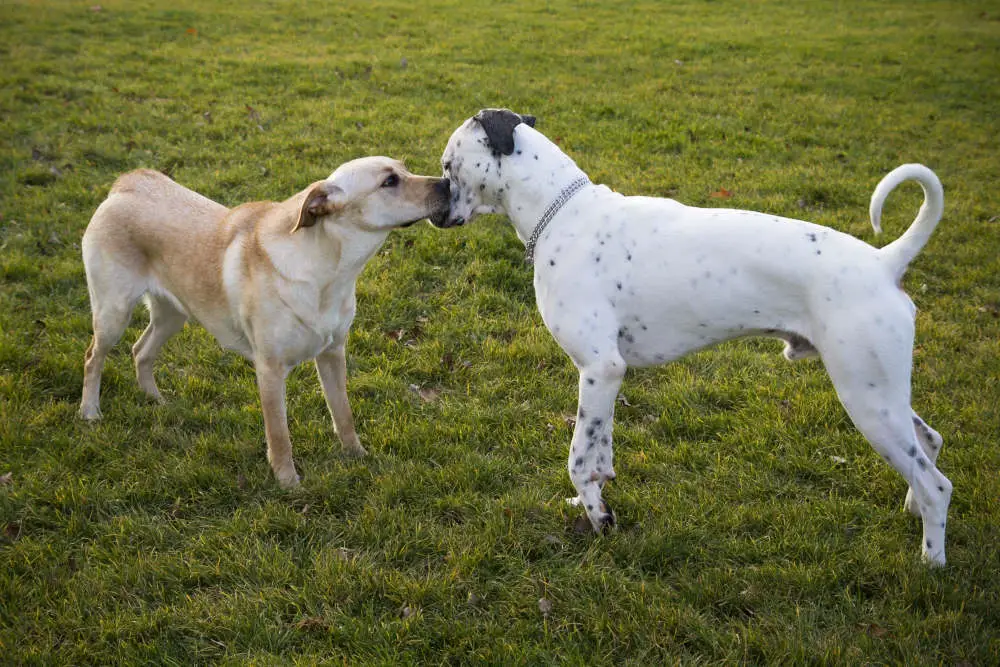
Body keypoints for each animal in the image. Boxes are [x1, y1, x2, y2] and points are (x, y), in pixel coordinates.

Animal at [80, 159, 452, 488]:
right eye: (389, 181)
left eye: (404, 169)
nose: (448, 183)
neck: (329, 271)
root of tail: (129, 182)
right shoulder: (270, 369)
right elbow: (279, 435)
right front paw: (288, 482)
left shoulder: (333, 353)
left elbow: (343, 414)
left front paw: (357, 455)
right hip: (114, 312)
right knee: (93, 358)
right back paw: (89, 411)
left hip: (174, 314)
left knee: (140, 350)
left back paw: (155, 399)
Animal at [440, 107, 952, 568]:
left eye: (448, 166)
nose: (436, 202)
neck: (563, 212)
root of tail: (884, 262)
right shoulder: (605, 379)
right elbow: (600, 450)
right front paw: (593, 504)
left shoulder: (600, 369)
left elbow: (579, 458)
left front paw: (598, 518)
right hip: (881, 394)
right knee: (928, 443)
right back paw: (913, 510)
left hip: (865, 400)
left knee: (937, 484)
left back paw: (931, 562)